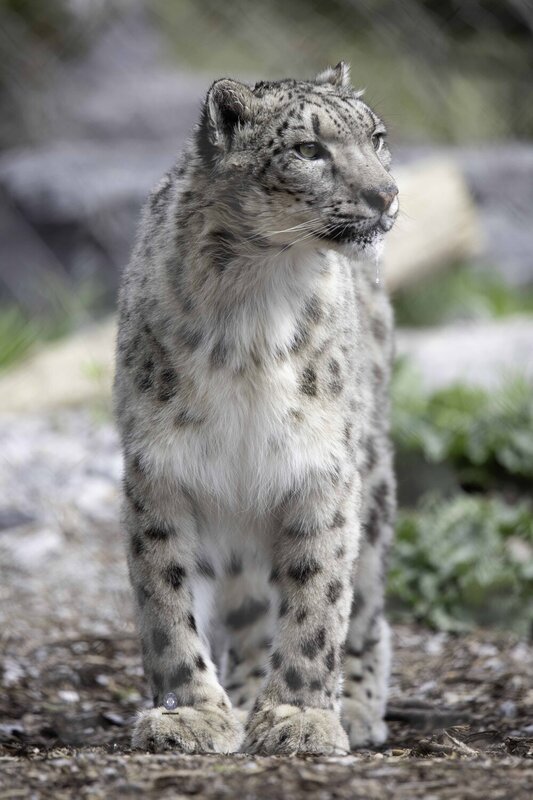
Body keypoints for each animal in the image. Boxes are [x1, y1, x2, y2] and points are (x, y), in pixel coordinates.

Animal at [113, 61, 399, 756]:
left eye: (377, 138)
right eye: (309, 150)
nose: (387, 196)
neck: (251, 314)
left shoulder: (321, 470)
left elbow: (319, 598)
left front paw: (299, 717)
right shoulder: (161, 473)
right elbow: (167, 601)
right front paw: (191, 716)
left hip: (373, 482)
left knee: (366, 603)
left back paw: (357, 706)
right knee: (247, 608)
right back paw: (241, 698)